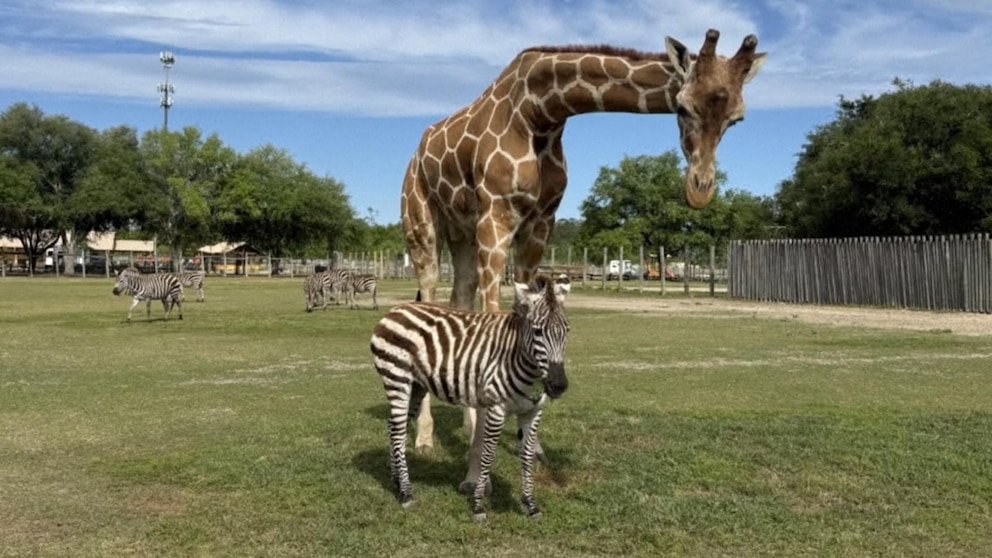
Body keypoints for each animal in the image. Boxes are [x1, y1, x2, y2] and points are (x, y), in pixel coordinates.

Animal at [370, 274, 570, 520]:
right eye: (538, 332)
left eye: (567, 330)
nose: (558, 386)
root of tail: (396, 310)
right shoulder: (495, 409)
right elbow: (488, 454)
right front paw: (478, 505)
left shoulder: (532, 412)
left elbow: (527, 456)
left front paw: (530, 504)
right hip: (396, 379)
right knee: (398, 433)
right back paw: (406, 493)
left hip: (416, 387)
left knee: (393, 427)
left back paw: (396, 482)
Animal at [401, 29, 765, 492]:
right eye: (682, 106)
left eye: (737, 118)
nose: (699, 190)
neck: (541, 113)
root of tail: (416, 152)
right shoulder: (496, 216)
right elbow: (495, 314)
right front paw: (473, 469)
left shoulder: (541, 222)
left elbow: (526, 311)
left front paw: (529, 444)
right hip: (423, 224)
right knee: (430, 295)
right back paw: (425, 437)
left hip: (461, 232)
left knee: (459, 298)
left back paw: (465, 427)